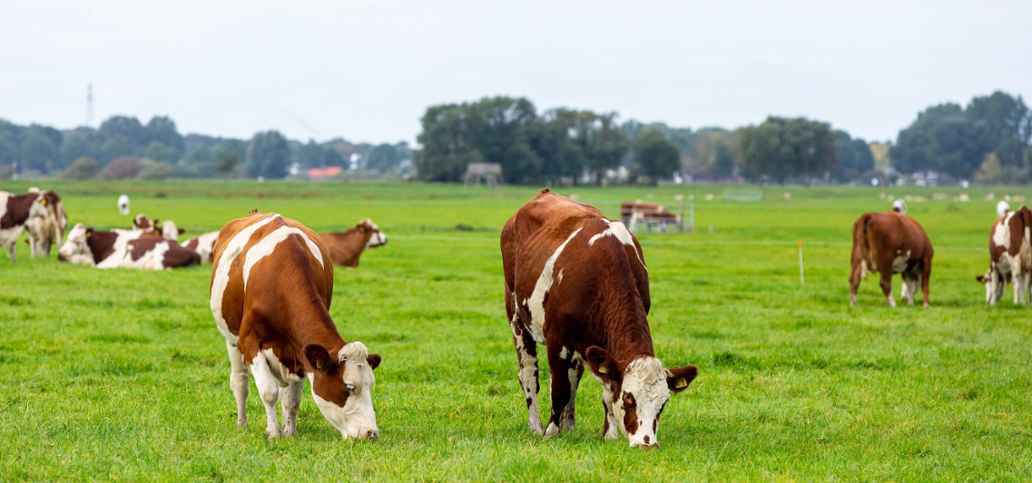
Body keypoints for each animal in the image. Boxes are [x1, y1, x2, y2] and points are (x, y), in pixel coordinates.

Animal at [209, 213, 383, 439]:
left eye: (371, 385)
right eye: (349, 387)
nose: (371, 433)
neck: (282, 273)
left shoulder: (301, 351)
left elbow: (292, 400)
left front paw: (289, 432)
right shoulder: (249, 342)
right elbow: (268, 392)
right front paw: (274, 433)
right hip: (231, 340)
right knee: (240, 382)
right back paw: (242, 424)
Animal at [497, 188, 693, 449]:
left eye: (663, 403)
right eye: (629, 398)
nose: (646, 444)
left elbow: (604, 387)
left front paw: (608, 433)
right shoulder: (556, 338)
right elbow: (558, 388)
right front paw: (551, 431)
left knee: (574, 375)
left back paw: (569, 425)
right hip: (518, 318)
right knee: (530, 374)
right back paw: (536, 426)